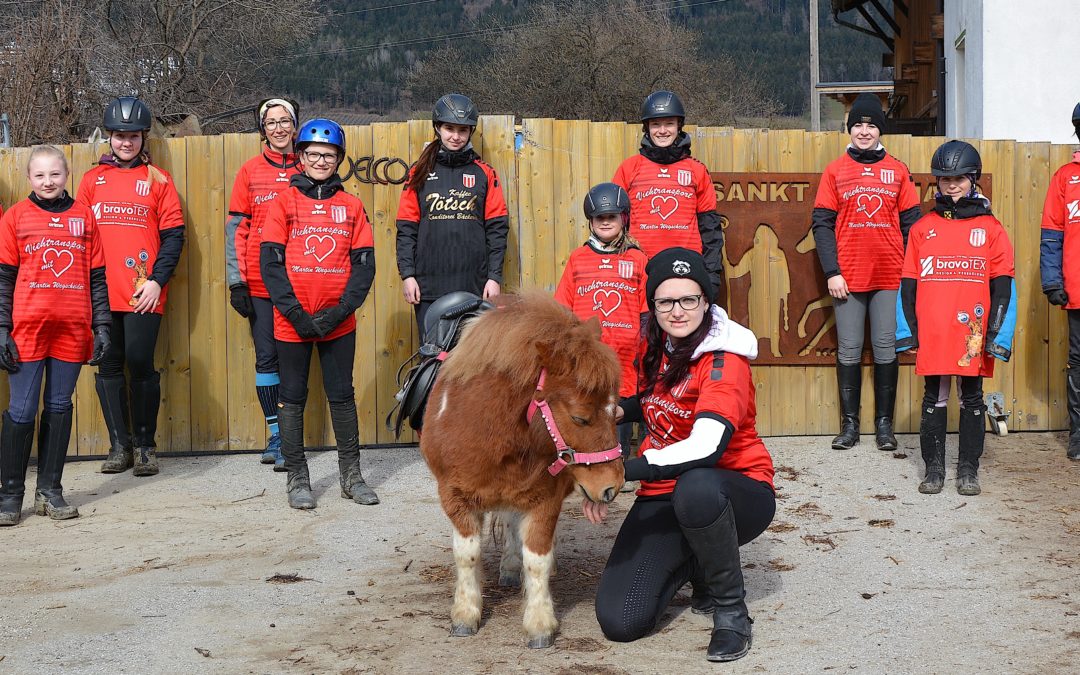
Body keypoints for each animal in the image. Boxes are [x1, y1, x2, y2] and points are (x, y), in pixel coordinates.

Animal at [419, 291, 626, 652]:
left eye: (615, 411)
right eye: (580, 418)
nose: (612, 485)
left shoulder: (546, 500)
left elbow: (537, 558)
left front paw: (540, 623)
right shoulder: (455, 497)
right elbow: (467, 554)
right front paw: (465, 614)